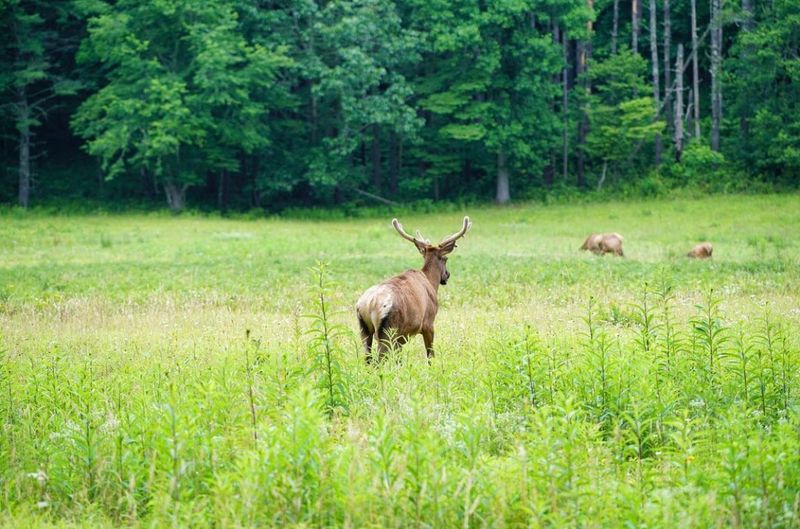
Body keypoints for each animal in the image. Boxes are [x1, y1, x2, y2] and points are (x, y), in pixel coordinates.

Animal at [356, 216, 472, 363]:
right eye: (445, 258)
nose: (447, 275)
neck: (430, 281)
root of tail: (369, 304)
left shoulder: (401, 337)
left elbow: (399, 361)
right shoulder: (428, 322)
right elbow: (430, 355)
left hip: (364, 329)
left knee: (367, 359)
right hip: (388, 331)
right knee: (379, 361)